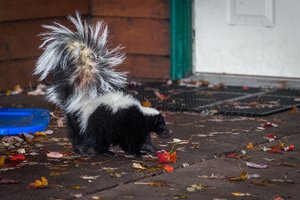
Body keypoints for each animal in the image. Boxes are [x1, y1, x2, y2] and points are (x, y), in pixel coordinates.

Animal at [34, 12, 170, 156]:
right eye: (162, 124)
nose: (168, 133)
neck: (143, 114)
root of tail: (80, 101)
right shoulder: (131, 126)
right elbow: (131, 142)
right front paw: (138, 153)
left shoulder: (140, 129)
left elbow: (145, 141)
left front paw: (154, 149)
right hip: (94, 122)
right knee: (90, 139)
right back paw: (85, 151)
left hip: (83, 124)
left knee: (88, 139)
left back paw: (101, 151)